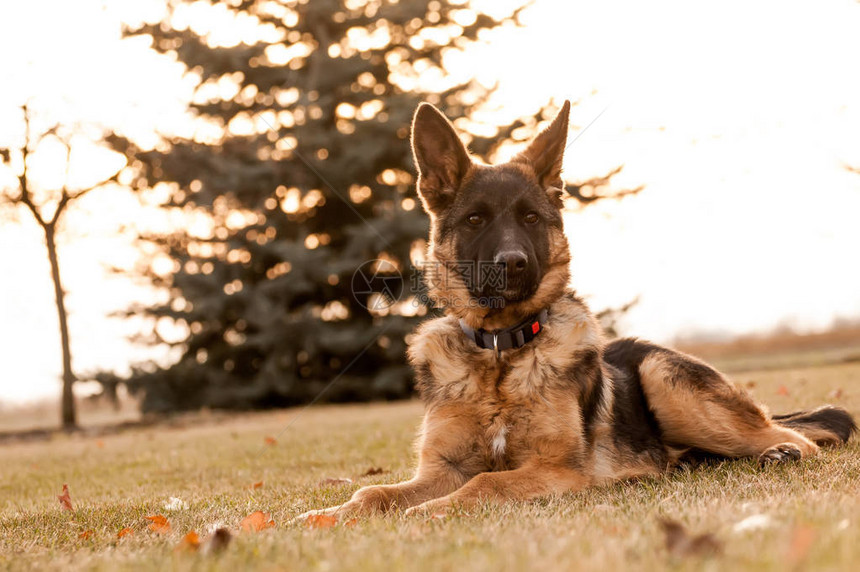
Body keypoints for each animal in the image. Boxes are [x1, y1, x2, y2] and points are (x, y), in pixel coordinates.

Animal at [296, 100, 852, 520]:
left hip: (664, 377)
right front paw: (329, 515)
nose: (513, 264)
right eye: (475, 219)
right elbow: (374, 492)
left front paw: (428, 513)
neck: (500, 354)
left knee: (795, 437)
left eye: (530, 218)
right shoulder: (441, 469)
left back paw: (778, 452)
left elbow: (485, 485)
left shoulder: (557, 469)